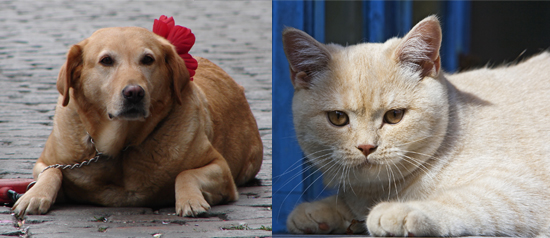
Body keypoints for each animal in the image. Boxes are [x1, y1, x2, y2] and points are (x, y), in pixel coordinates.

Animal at [282, 15, 550, 237]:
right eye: (338, 117)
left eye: (394, 115)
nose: (367, 147)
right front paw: (319, 211)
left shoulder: (520, 189)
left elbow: (461, 200)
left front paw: (400, 210)